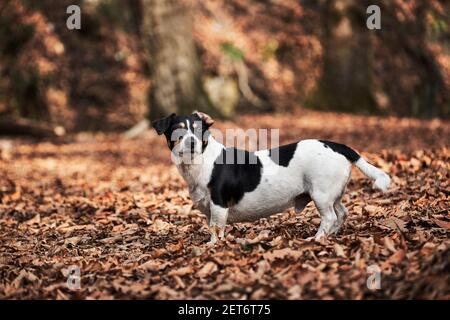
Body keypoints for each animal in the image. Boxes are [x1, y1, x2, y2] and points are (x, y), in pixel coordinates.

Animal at [152, 111, 390, 244]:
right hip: (333, 194)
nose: (192, 142)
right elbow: (213, 228)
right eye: (178, 131)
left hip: (321, 194)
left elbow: (216, 229)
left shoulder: (219, 206)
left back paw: (317, 238)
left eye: (199, 130)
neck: (200, 161)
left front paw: (212, 247)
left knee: (330, 216)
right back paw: (331, 235)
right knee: (342, 213)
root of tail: (336, 145)